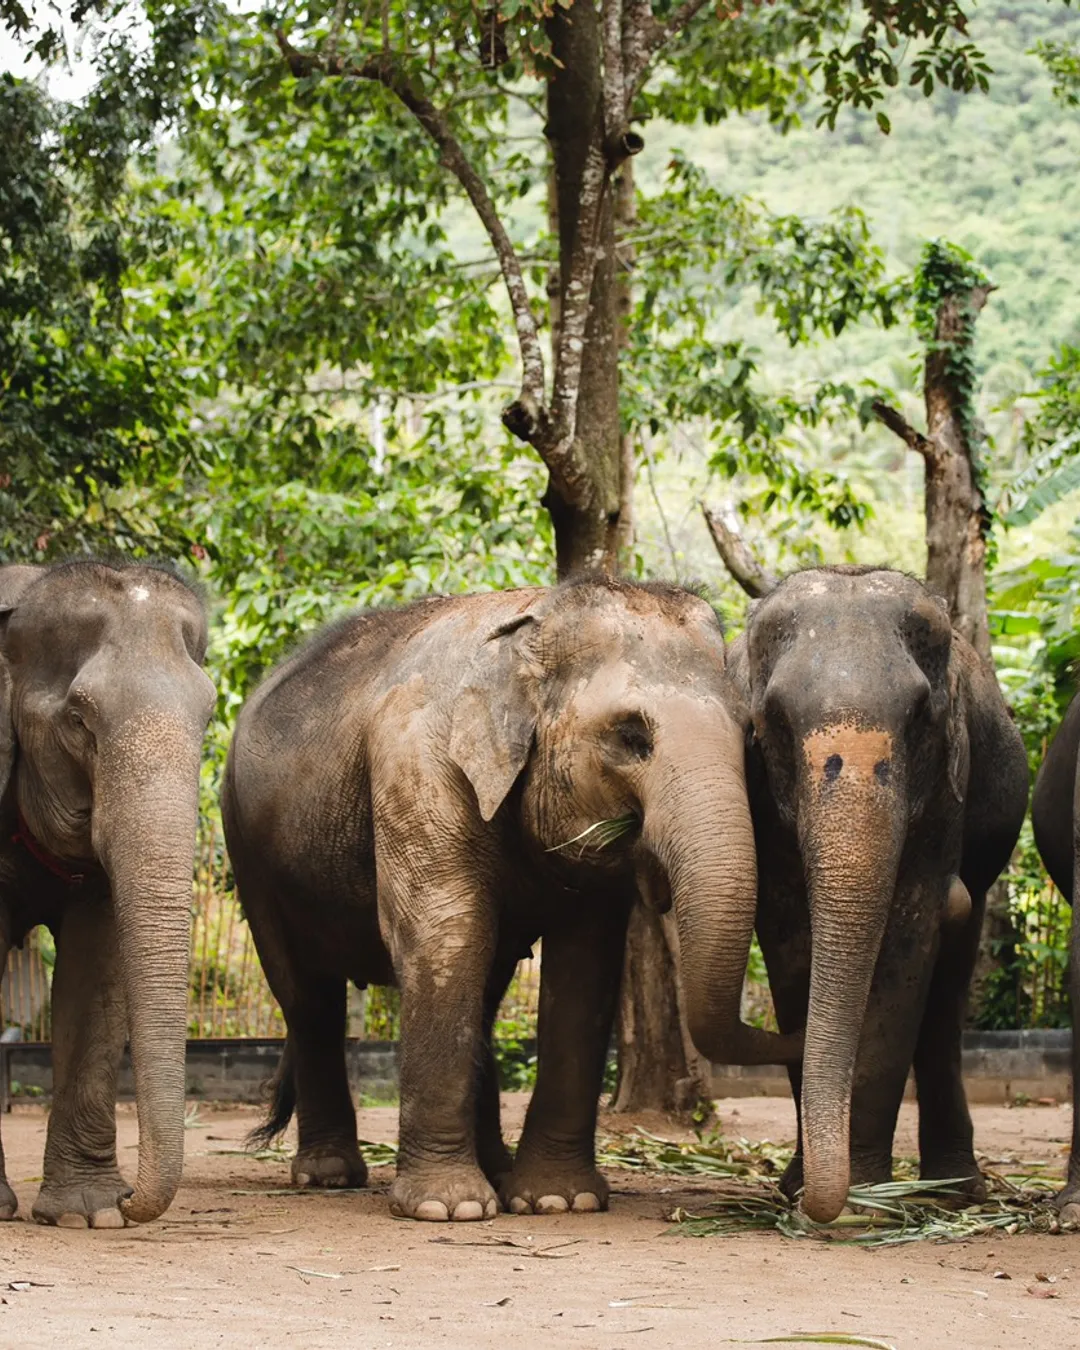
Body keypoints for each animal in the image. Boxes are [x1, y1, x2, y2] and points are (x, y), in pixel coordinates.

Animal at [225, 575, 799, 1231]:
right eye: (631, 736)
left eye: (750, 740)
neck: (531, 619)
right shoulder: (418, 765)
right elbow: (448, 933)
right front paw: (447, 1209)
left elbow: (583, 964)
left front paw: (558, 1201)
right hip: (250, 854)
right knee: (308, 996)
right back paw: (329, 1176)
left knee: (482, 993)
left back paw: (494, 1170)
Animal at [723, 564, 1031, 1231]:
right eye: (774, 720)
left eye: (920, 716)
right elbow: (790, 941)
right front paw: (802, 1189)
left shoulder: (945, 793)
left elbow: (907, 941)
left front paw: (864, 1202)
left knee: (947, 994)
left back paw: (956, 1191)